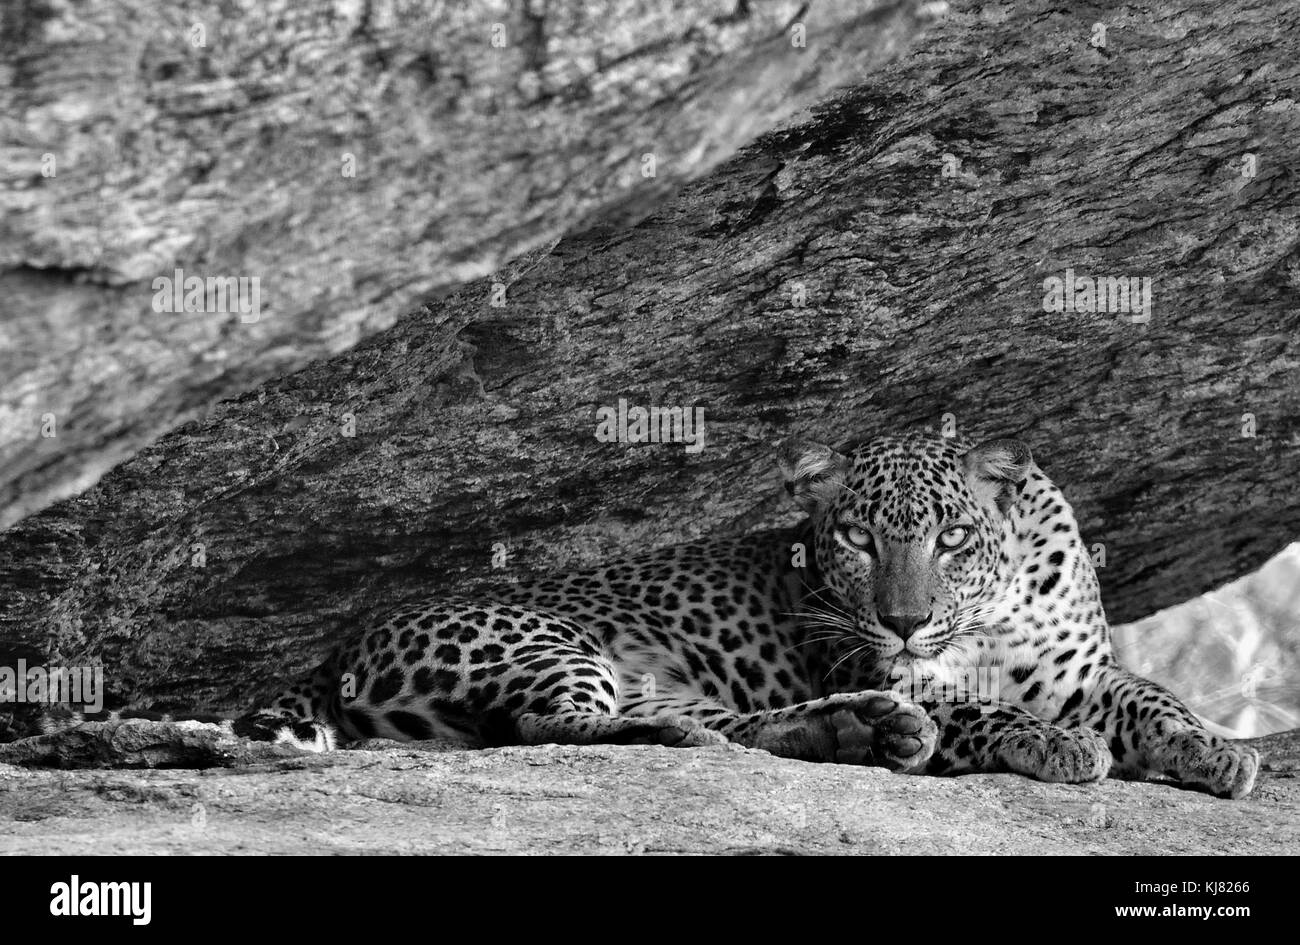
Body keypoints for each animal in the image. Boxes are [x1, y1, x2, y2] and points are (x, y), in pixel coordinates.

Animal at [236, 434, 1258, 800]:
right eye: (855, 537)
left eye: (954, 536)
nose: (904, 621)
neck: (990, 615)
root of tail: (340, 646)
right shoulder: (891, 665)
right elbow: (975, 708)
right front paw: (1051, 743)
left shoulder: (1083, 674)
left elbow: (1153, 698)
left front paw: (1216, 750)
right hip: (553, 640)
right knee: (550, 723)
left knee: (737, 726)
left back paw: (861, 731)